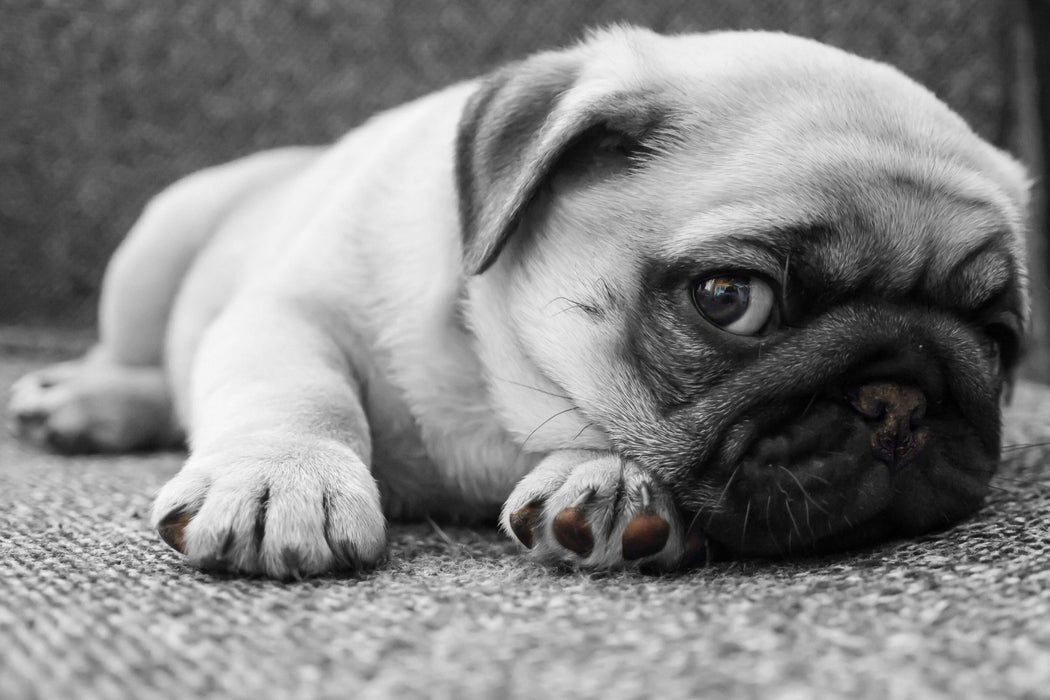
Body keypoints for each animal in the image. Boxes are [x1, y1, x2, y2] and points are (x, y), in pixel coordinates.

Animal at [8, 24, 1024, 579]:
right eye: (731, 300)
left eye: (998, 337)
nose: (898, 399)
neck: (495, 397)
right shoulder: (292, 309)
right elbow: (298, 389)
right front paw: (280, 480)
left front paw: (608, 481)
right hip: (156, 246)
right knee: (137, 357)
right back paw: (89, 400)